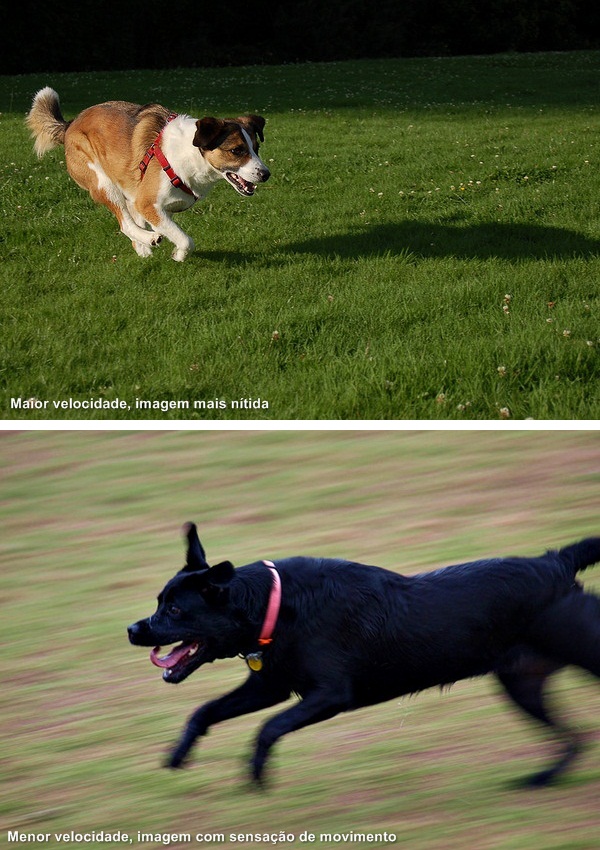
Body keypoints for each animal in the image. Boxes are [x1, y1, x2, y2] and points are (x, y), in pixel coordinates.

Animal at [25, 86, 270, 260]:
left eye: (256, 148)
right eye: (236, 150)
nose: (266, 174)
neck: (189, 153)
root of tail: (70, 124)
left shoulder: (155, 207)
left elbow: (174, 231)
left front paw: (170, 249)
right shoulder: (147, 204)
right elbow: (186, 240)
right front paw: (178, 255)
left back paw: (142, 247)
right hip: (103, 183)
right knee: (125, 224)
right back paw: (148, 239)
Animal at [127, 524, 600, 788]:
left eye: (174, 609)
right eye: (159, 601)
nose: (132, 629)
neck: (275, 606)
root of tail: (556, 564)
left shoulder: (330, 694)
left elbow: (268, 728)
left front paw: (256, 775)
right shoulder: (271, 686)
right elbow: (204, 711)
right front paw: (178, 755)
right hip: (522, 682)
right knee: (576, 737)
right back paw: (542, 780)